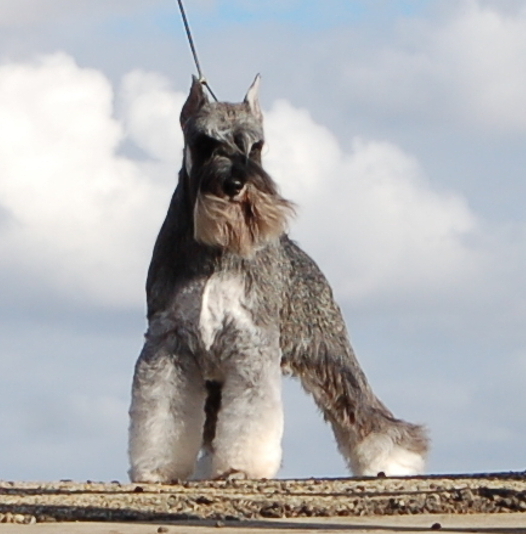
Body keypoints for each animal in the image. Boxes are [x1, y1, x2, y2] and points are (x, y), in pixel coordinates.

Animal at [128, 76, 428, 486]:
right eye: (205, 142)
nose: (237, 184)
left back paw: (395, 462)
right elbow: (160, 412)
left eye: (256, 146)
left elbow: (252, 418)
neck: (216, 246)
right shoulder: (168, 343)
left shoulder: (250, 341)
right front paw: (157, 468)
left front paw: (242, 466)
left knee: (362, 409)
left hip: (328, 353)